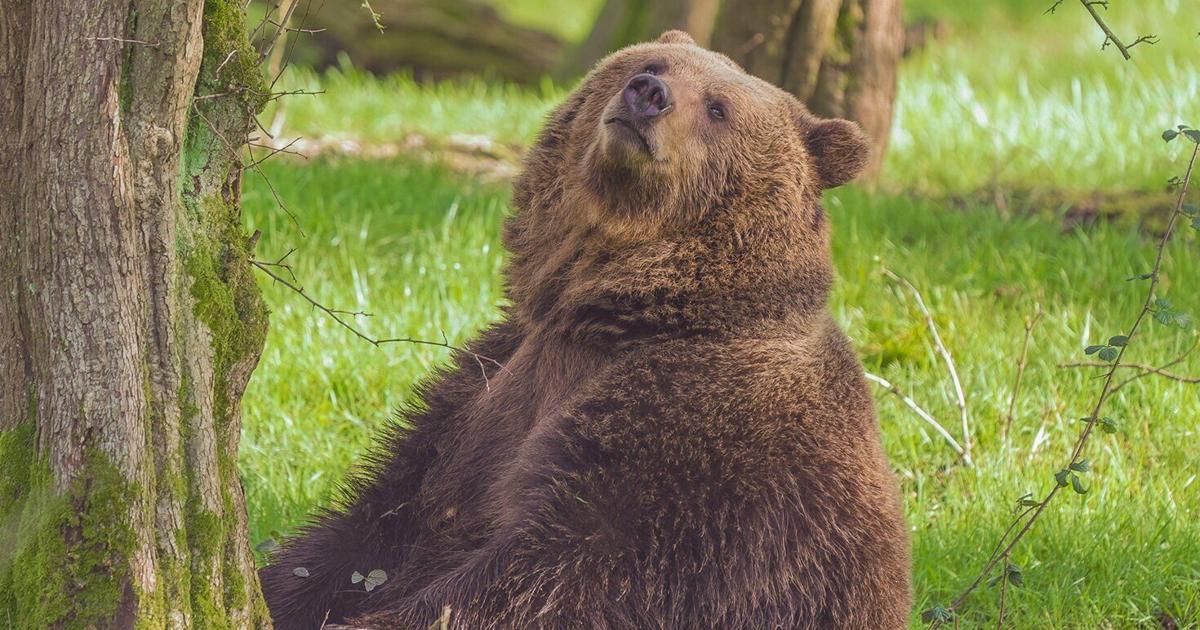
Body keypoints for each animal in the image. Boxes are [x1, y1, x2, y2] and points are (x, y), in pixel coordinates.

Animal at [260, 29, 911, 629]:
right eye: (653, 63)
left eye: (719, 107)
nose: (648, 94)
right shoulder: (481, 390)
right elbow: (371, 529)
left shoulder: (692, 444)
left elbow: (549, 575)